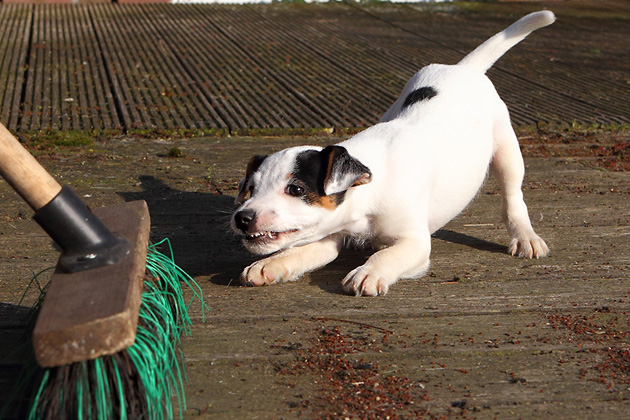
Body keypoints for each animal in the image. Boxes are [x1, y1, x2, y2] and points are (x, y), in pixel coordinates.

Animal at [231, 11, 552, 296]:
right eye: (251, 189)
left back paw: (525, 236)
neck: (369, 189)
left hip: (507, 151)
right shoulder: (329, 234)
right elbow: (302, 250)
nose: (242, 218)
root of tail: (464, 68)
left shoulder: (415, 242)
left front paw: (369, 272)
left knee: (513, 197)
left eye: (295, 189)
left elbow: (389, 255)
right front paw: (270, 265)